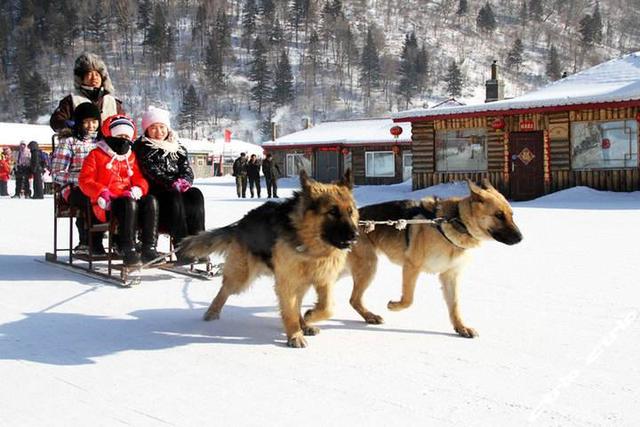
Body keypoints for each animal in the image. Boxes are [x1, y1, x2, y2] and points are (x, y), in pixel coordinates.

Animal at [178, 170, 360, 348]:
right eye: (332, 212)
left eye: (350, 212)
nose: (356, 235)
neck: (309, 243)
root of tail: (242, 222)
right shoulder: (287, 282)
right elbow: (290, 311)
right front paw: (295, 335)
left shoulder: (323, 280)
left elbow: (327, 307)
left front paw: (309, 316)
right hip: (242, 277)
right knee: (224, 290)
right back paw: (212, 312)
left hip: (298, 282)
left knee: (298, 303)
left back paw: (304, 324)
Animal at [344, 179, 520, 340]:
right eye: (499, 215)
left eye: (511, 215)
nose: (521, 238)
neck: (456, 221)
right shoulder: (411, 267)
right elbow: (408, 299)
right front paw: (394, 306)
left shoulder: (450, 275)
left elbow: (455, 305)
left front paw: (461, 327)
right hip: (368, 266)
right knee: (354, 299)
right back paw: (370, 316)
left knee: (352, 299)